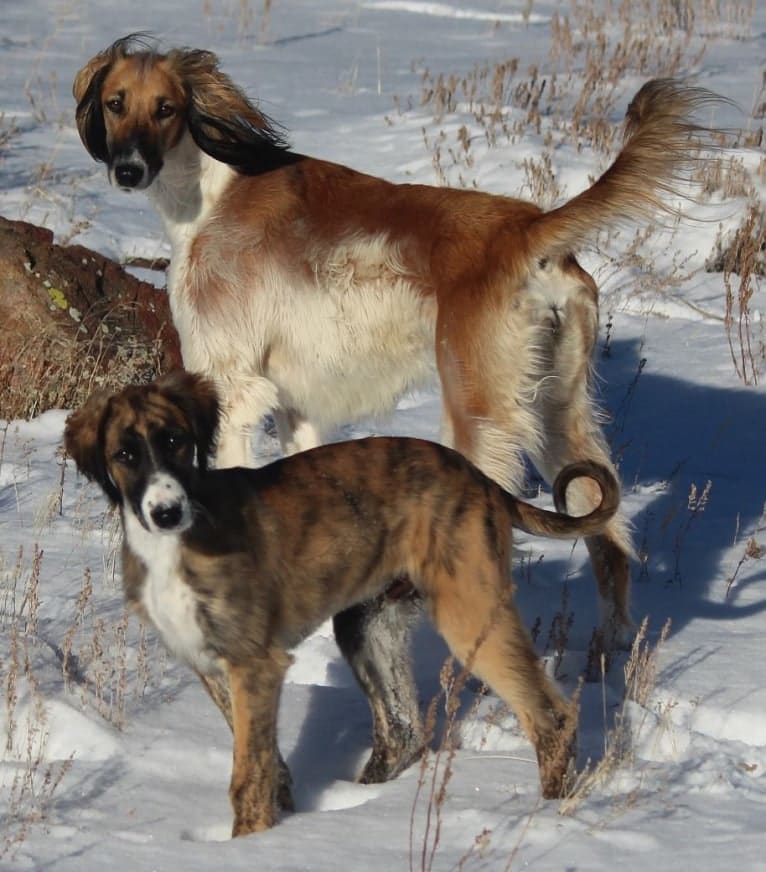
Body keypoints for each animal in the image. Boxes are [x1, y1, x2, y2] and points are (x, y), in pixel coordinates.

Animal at [66, 374, 624, 836]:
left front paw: (249, 844)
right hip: (367, 625)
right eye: (125, 455)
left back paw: (548, 811)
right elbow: (268, 763)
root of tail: (478, 478)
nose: (166, 512)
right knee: (402, 731)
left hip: (470, 612)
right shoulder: (212, 665)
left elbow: (248, 775)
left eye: (175, 442)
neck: (176, 544)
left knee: (549, 715)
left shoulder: (253, 663)